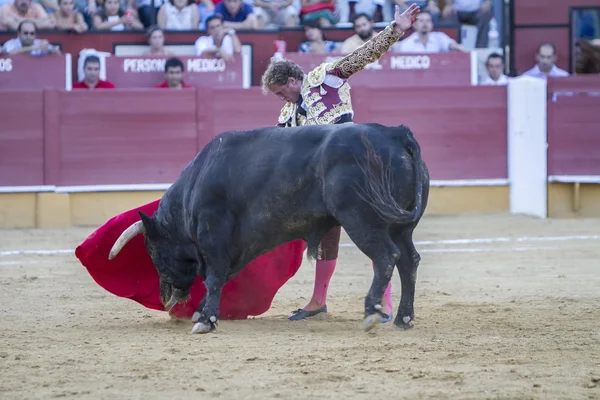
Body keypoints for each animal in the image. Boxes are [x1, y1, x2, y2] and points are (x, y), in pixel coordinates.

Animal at [106, 122, 426, 334]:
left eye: (153, 251)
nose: (165, 299)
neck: (194, 186)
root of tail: (396, 133)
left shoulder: (214, 236)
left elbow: (214, 277)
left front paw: (206, 320)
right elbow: (217, 277)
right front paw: (202, 313)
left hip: (361, 217)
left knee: (386, 256)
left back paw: (372, 313)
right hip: (399, 226)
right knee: (409, 260)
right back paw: (403, 318)